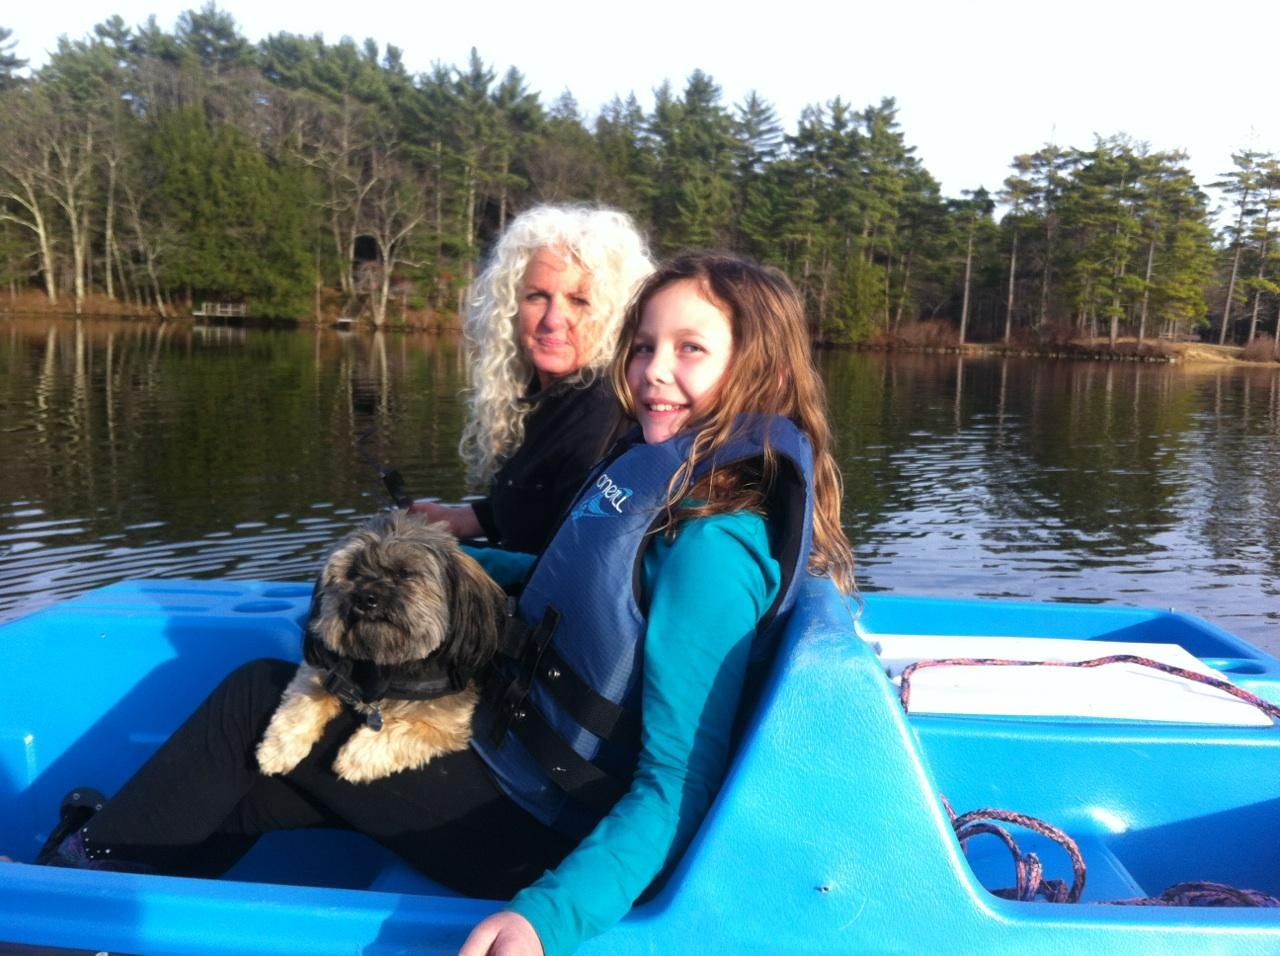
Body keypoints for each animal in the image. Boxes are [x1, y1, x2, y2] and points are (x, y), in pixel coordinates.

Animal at [256, 511, 505, 784]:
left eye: (404, 573)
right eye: (352, 573)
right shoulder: (325, 668)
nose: (366, 597)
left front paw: (356, 756)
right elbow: (303, 701)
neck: (386, 666)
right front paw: (277, 749)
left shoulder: (446, 725)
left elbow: (404, 730)